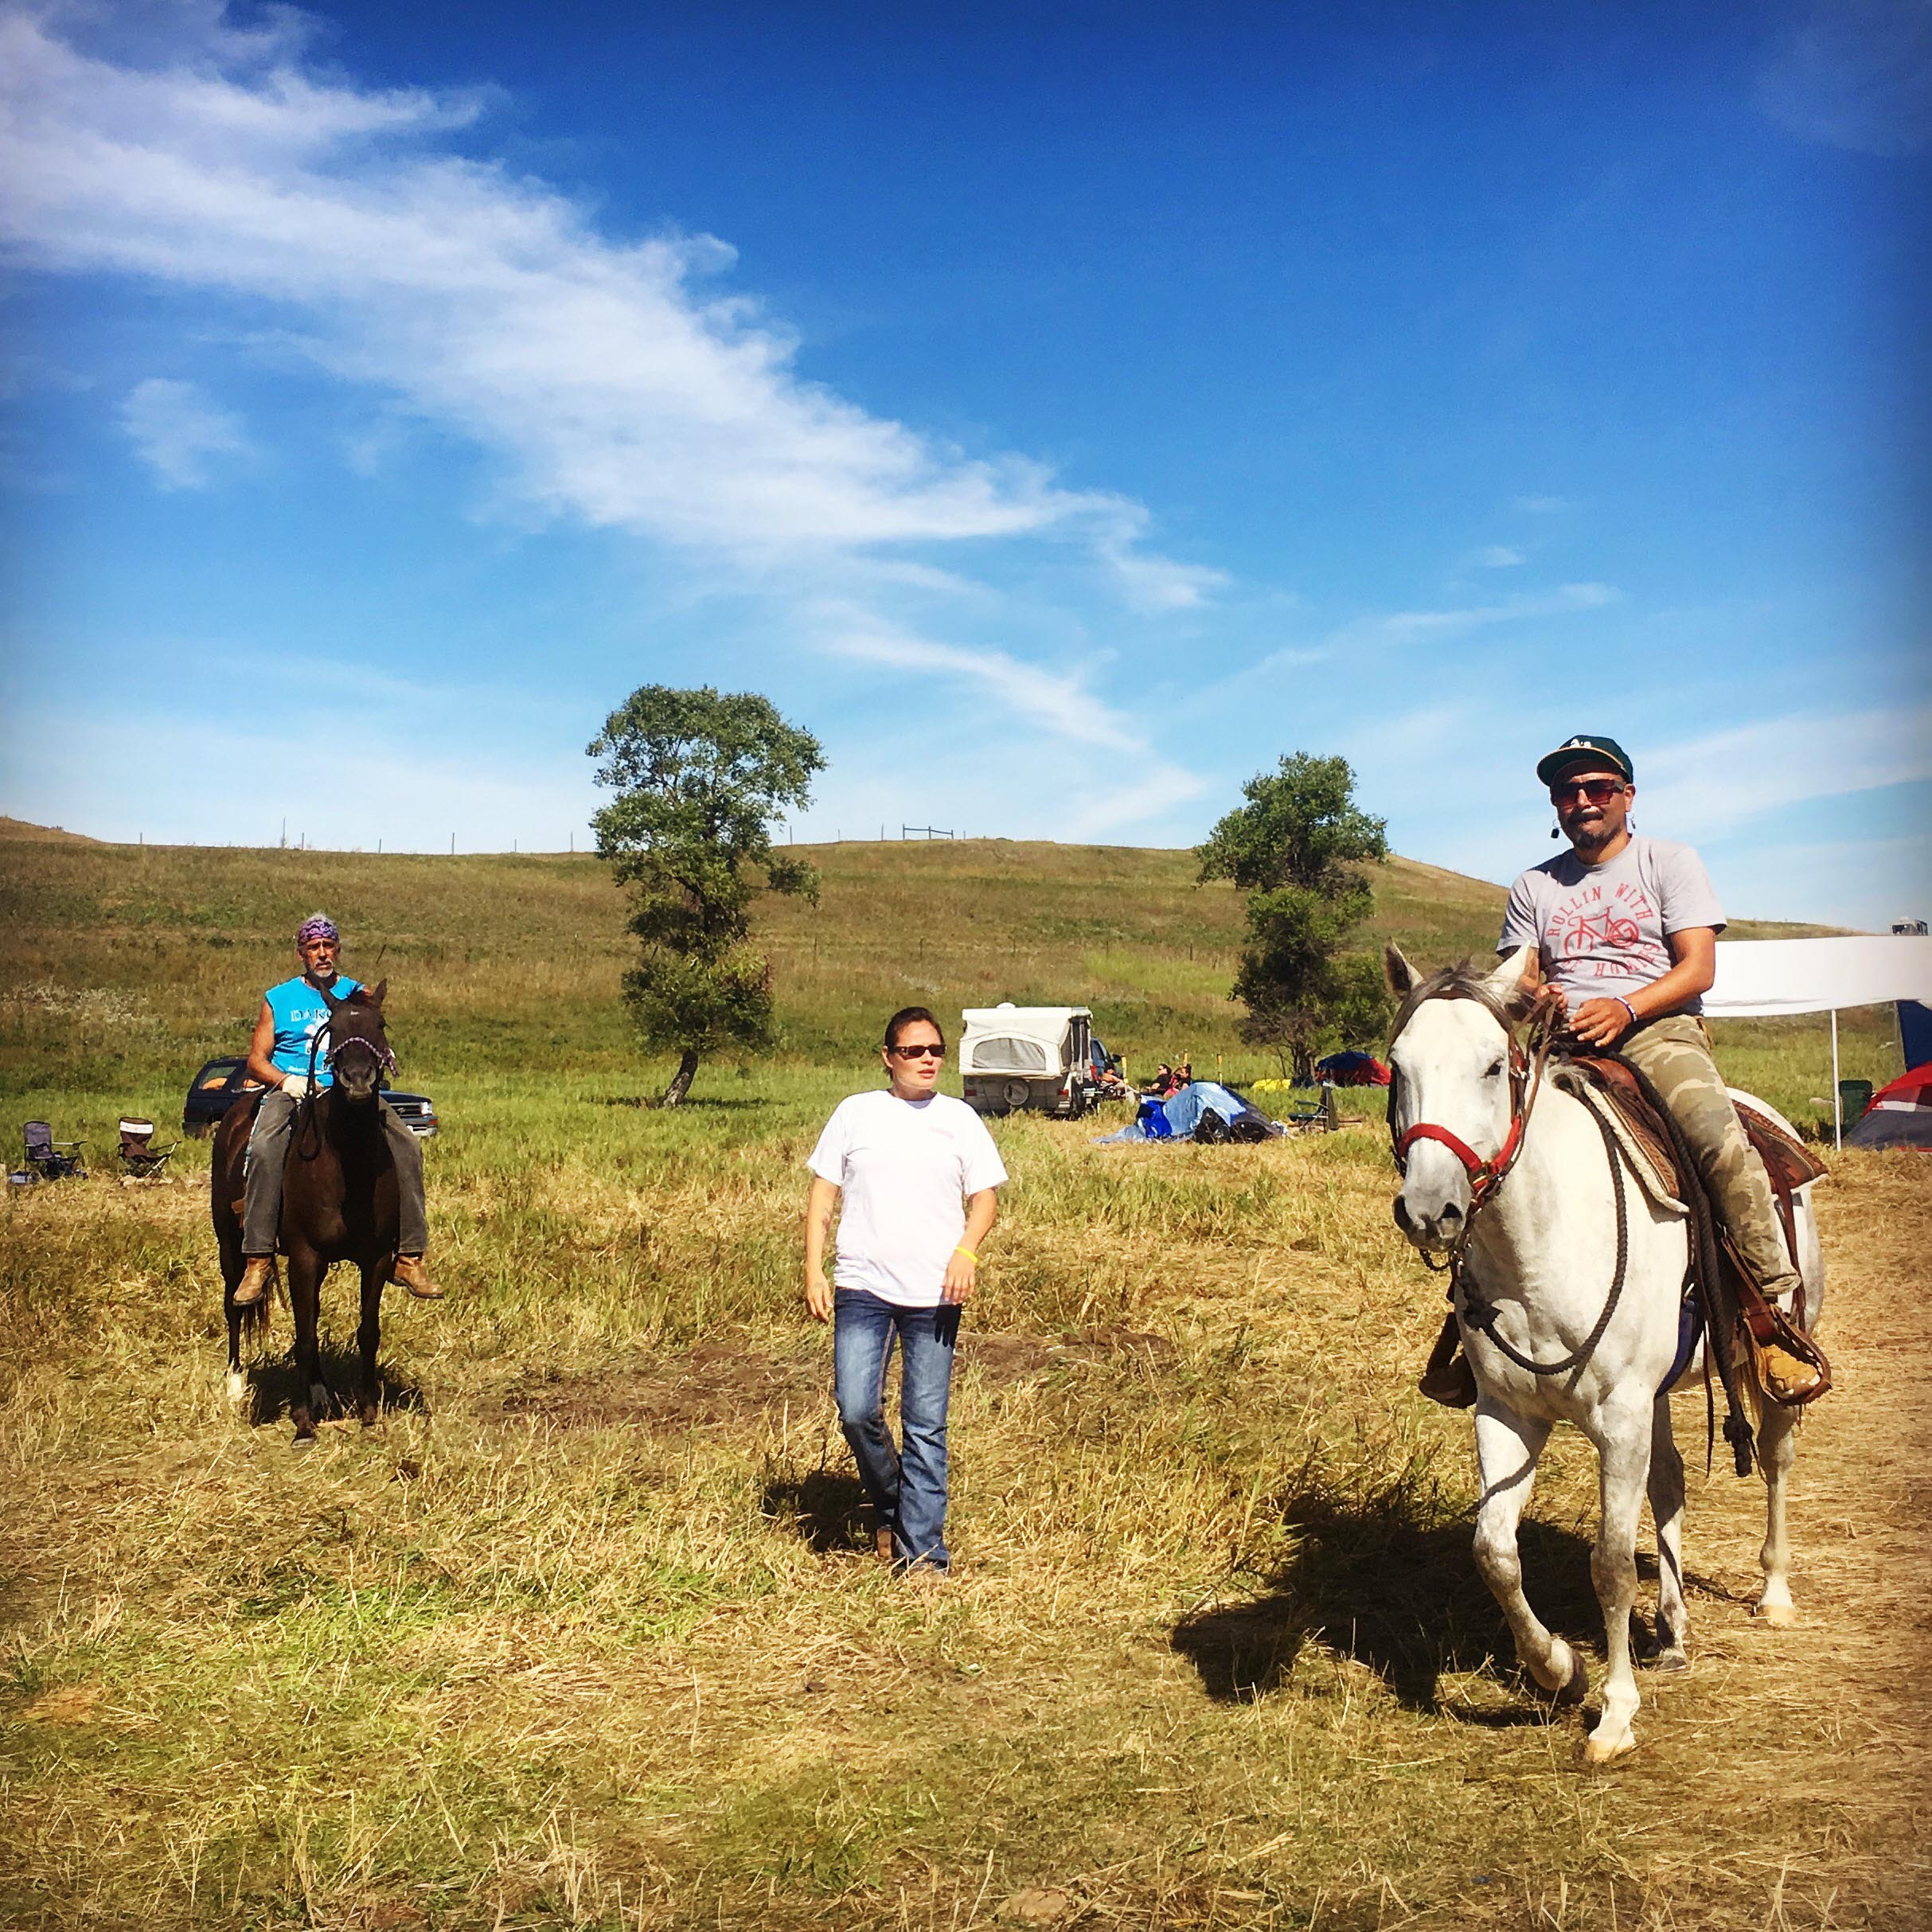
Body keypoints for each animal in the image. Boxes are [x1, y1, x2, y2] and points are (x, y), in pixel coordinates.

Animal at [213, 989, 401, 1445]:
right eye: (333, 1028)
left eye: (380, 1024)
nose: (357, 1080)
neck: (347, 1164)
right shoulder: (302, 1255)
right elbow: (304, 1336)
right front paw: (302, 1424)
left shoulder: (375, 1258)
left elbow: (367, 1332)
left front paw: (368, 1413)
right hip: (230, 1245)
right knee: (233, 1305)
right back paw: (235, 1383)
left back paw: (319, 1392)